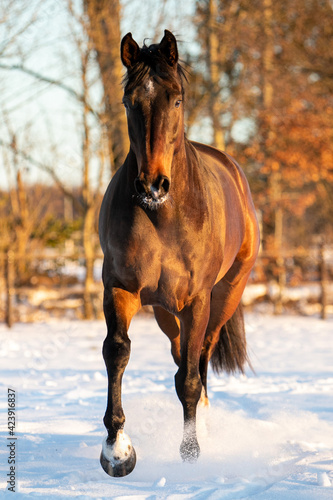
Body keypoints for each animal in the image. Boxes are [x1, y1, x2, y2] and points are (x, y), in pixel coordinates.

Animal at [98, 30, 260, 476]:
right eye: (129, 101)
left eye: (176, 99)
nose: (152, 184)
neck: (162, 217)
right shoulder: (120, 289)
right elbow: (117, 352)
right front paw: (117, 450)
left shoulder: (195, 301)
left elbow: (190, 377)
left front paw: (190, 452)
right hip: (164, 313)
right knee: (179, 357)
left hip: (223, 298)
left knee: (199, 359)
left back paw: (202, 428)